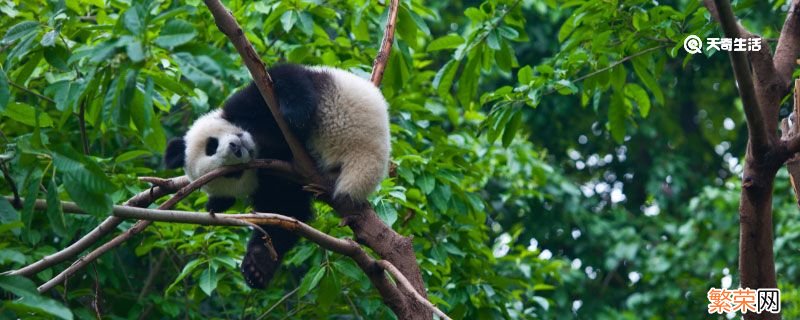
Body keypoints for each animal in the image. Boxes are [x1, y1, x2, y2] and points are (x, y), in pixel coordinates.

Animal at [166, 63, 394, 288]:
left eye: (210, 146)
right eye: (233, 174)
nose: (236, 148)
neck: (261, 143)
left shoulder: (247, 105)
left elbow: (281, 77)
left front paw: (295, 114)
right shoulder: (275, 180)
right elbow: (284, 211)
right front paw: (257, 266)